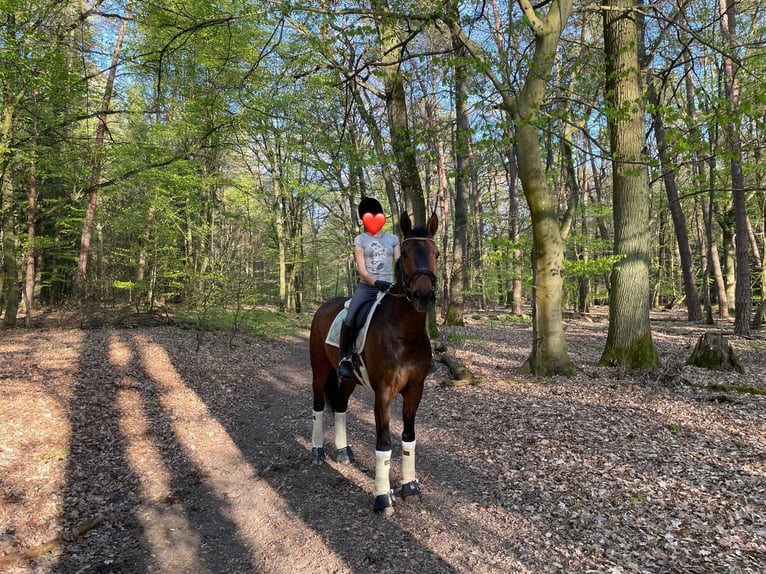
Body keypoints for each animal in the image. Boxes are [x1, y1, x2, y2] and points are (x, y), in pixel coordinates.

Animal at [310, 213, 440, 516]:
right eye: (405, 254)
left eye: (436, 254)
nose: (424, 297)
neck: (404, 333)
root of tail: (323, 308)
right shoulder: (383, 394)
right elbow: (383, 441)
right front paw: (383, 498)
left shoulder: (415, 389)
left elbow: (408, 436)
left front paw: (410, 487)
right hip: (319, 371)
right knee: (319, 405)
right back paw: (317, 451)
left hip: (348, 378)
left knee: (341, 406)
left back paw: (344, 452)